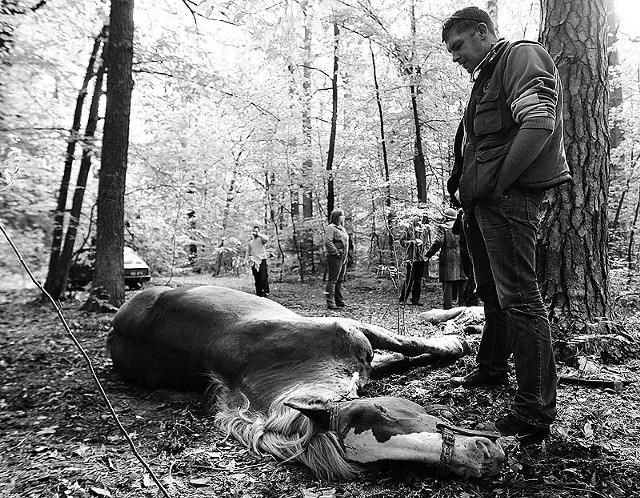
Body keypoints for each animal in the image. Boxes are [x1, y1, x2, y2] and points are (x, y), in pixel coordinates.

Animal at [106, 286, 504, 480]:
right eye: (388, 465)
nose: (482, 458)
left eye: (383, 409)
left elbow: (408, 348)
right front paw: (457, 341)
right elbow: (409, 348)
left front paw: (456, 340)